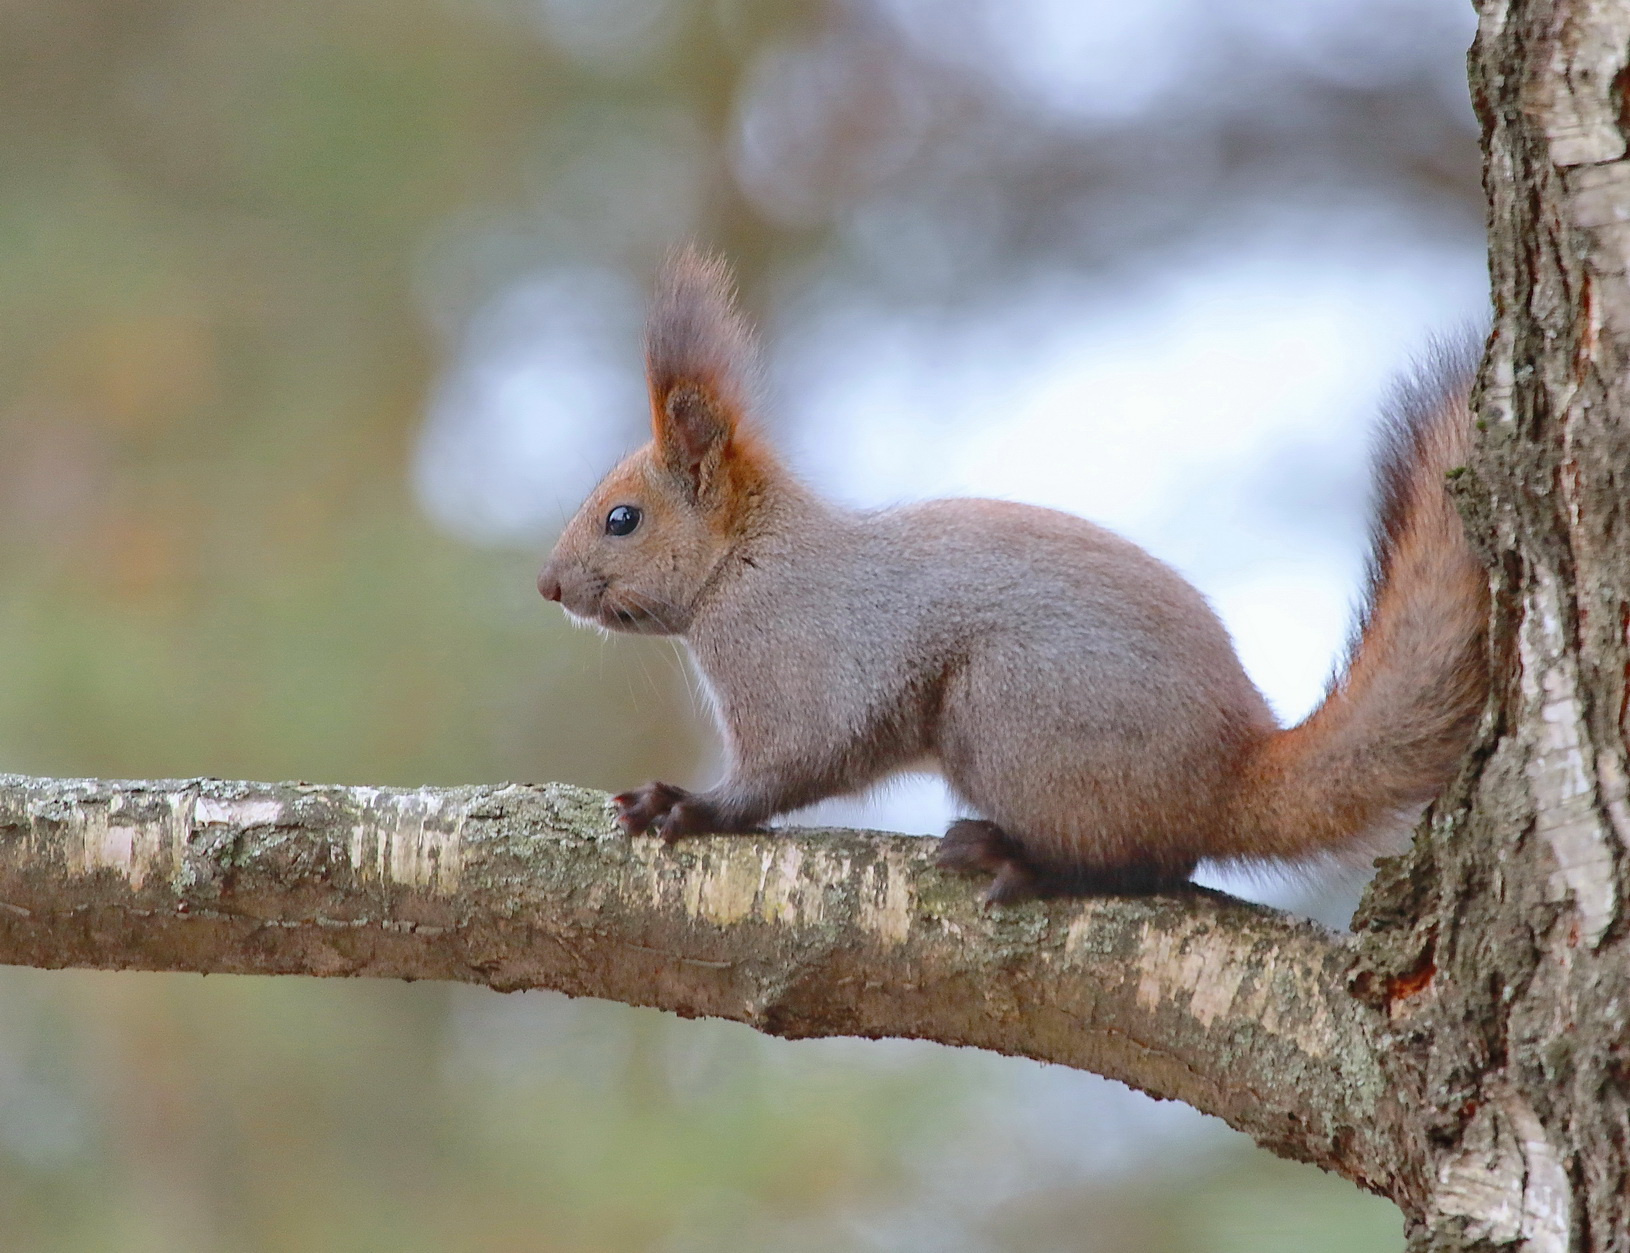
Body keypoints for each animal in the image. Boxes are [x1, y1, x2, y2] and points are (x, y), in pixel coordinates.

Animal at [536, 248, 1489, 904]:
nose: (548, 587)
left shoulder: (800, 660)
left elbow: (795, 761)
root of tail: (1232, 771)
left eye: (622, 519)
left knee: (1147, 862)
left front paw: (689, 805)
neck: (745, 561)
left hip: (1010, 715)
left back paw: (1020, 860)